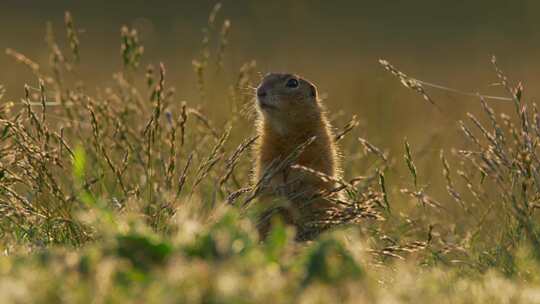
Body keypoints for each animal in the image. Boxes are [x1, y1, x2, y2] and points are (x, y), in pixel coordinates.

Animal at [254, 72, 342, 240]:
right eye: (265, 77)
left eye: (293, 83)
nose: (260, 91)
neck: (287, 129)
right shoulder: (266, 150)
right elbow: (267, 169)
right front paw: (280, 187)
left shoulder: (318, 146)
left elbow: (311, 169)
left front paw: (295, 183)